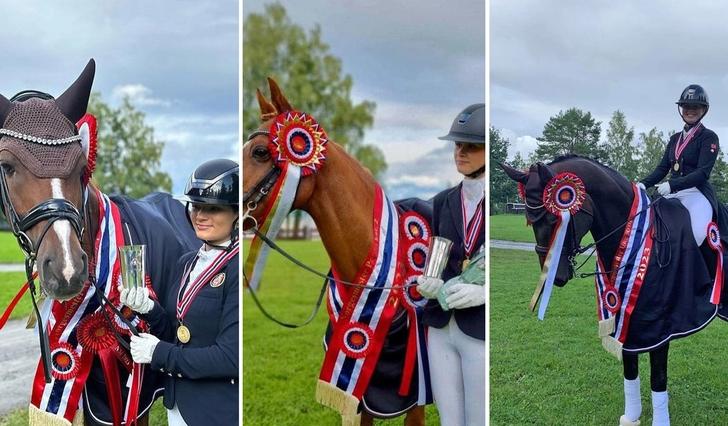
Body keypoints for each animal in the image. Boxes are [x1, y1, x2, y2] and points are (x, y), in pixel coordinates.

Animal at [504, 156, 720, 422]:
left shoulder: (661, 326)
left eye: (555, 219)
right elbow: (630, 368)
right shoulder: (626, 318)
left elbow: (658, 376)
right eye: (529, 220)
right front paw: (631, 417)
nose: (557, 277)